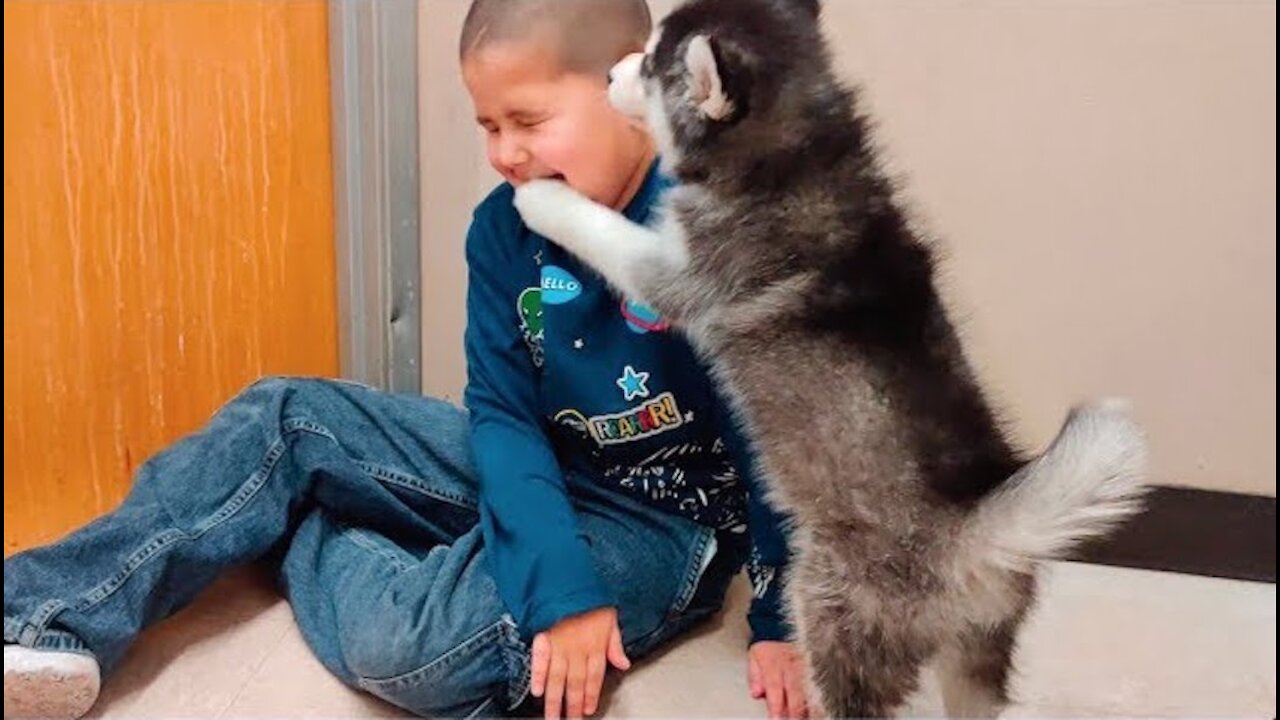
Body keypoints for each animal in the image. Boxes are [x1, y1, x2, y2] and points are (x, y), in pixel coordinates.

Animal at [509, 0, 1152, 712]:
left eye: (649, 64)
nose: (608, 75)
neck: (800, 151)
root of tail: (973, 531)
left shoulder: (680, 274)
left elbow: (605, 233)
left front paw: (543, 198)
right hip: (976, 656)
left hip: (827, 605)